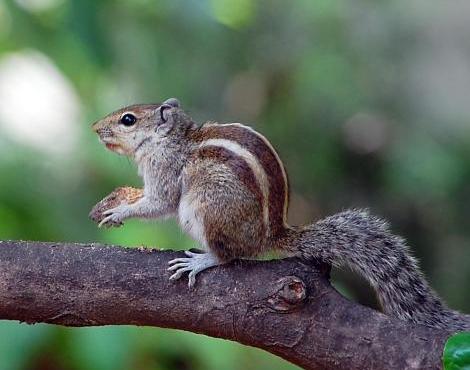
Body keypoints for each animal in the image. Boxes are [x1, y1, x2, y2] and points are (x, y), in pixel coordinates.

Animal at [92, 97, 470, 330]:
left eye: (128, 120)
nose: (95, 128)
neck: (174, 139)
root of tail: (270, 236)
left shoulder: (165, 170)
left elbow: (160, 202)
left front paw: (120, 211)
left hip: (205, 209)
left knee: (229, 255)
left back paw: (201, 260)